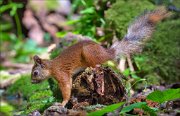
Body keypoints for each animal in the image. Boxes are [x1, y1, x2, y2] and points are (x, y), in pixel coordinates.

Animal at [30, 7, 169, 107]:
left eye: (35, 73)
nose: (31, 82)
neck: (51, 66)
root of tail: (107, 52)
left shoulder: (61, 74)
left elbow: (66, 88)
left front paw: (62, 103)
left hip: (88, 52)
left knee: (97, 64)